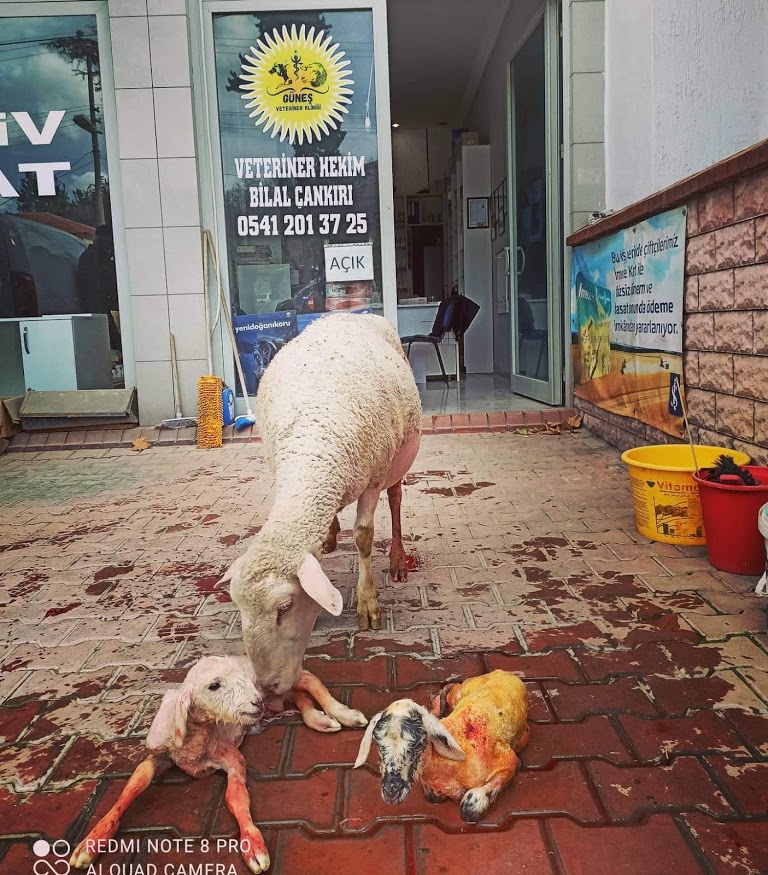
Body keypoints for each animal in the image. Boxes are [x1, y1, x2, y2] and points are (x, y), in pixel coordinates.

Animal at [69, 656, 272, 875]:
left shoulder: (231, 756)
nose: (257, 703)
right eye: (214, 686)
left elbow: (236, 797)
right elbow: (135, 783)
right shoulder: (160, 755)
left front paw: (252, 843)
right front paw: (92, 840)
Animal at [219, 314, 424, 732]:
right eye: (238, 607)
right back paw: (329, 534)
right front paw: (328, 537)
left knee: (396, 500)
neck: (312, 444)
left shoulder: (373, 478)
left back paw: (397, 560)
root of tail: (350, 313)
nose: (267, 689)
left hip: (396, 460)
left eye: (285, 607)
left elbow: (363, 536)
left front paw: (368, 604)